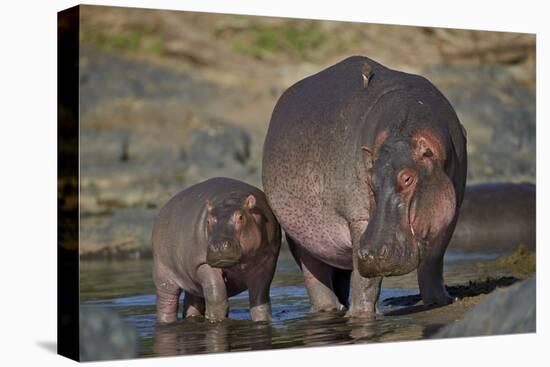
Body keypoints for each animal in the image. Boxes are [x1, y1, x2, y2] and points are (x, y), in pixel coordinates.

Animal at [153, 177, 282, 324]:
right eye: (208, 220)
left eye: (241, 217)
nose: (219, 245)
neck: (231, 199)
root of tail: (164, 208)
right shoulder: (202, 264)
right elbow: (217, 296)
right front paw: (216, 320)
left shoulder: (267, 262)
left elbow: (260, 301)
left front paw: (263, 321)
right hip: (163, 274)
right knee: (166, 302)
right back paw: (166, 321)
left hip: (192, 282)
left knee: (192, 301)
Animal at [264, 56, 466, 318]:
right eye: (369, 179)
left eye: (407, 178)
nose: (371, 255)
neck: (405, 128)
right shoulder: (359, 219)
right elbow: (366, 280)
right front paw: (359, 316)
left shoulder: (451, 211)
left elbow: (434, 260)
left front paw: (442, 301)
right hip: (300, 236)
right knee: (315, 276)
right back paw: (330, 309)